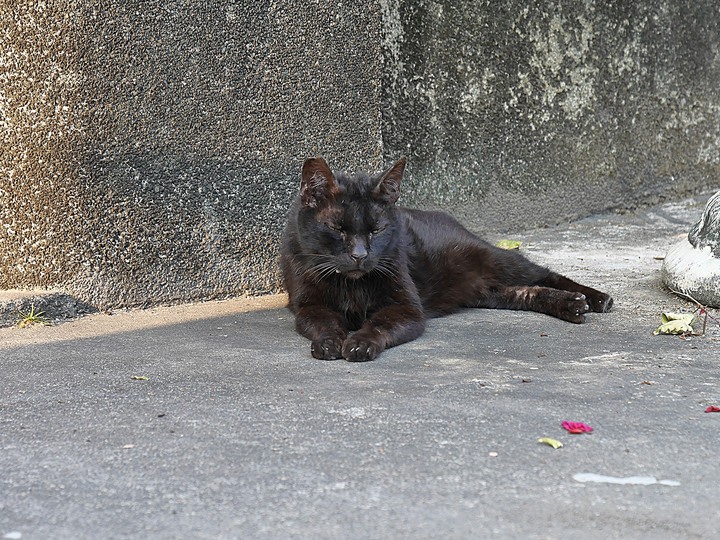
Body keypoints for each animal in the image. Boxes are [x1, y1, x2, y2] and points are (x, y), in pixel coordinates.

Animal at [282, 156, 612, 362]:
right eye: (337, 228)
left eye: (377, 230)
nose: (360, 255)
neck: (351, 286)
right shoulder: (310, 306)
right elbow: (325, 324)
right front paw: (328, 343)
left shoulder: (407, 307)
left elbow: (378, 324)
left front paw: (360, 343)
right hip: (489, 292)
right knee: (526, 292)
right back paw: (571, 305)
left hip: (495, 259)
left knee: (541, 273)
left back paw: (594, 299)